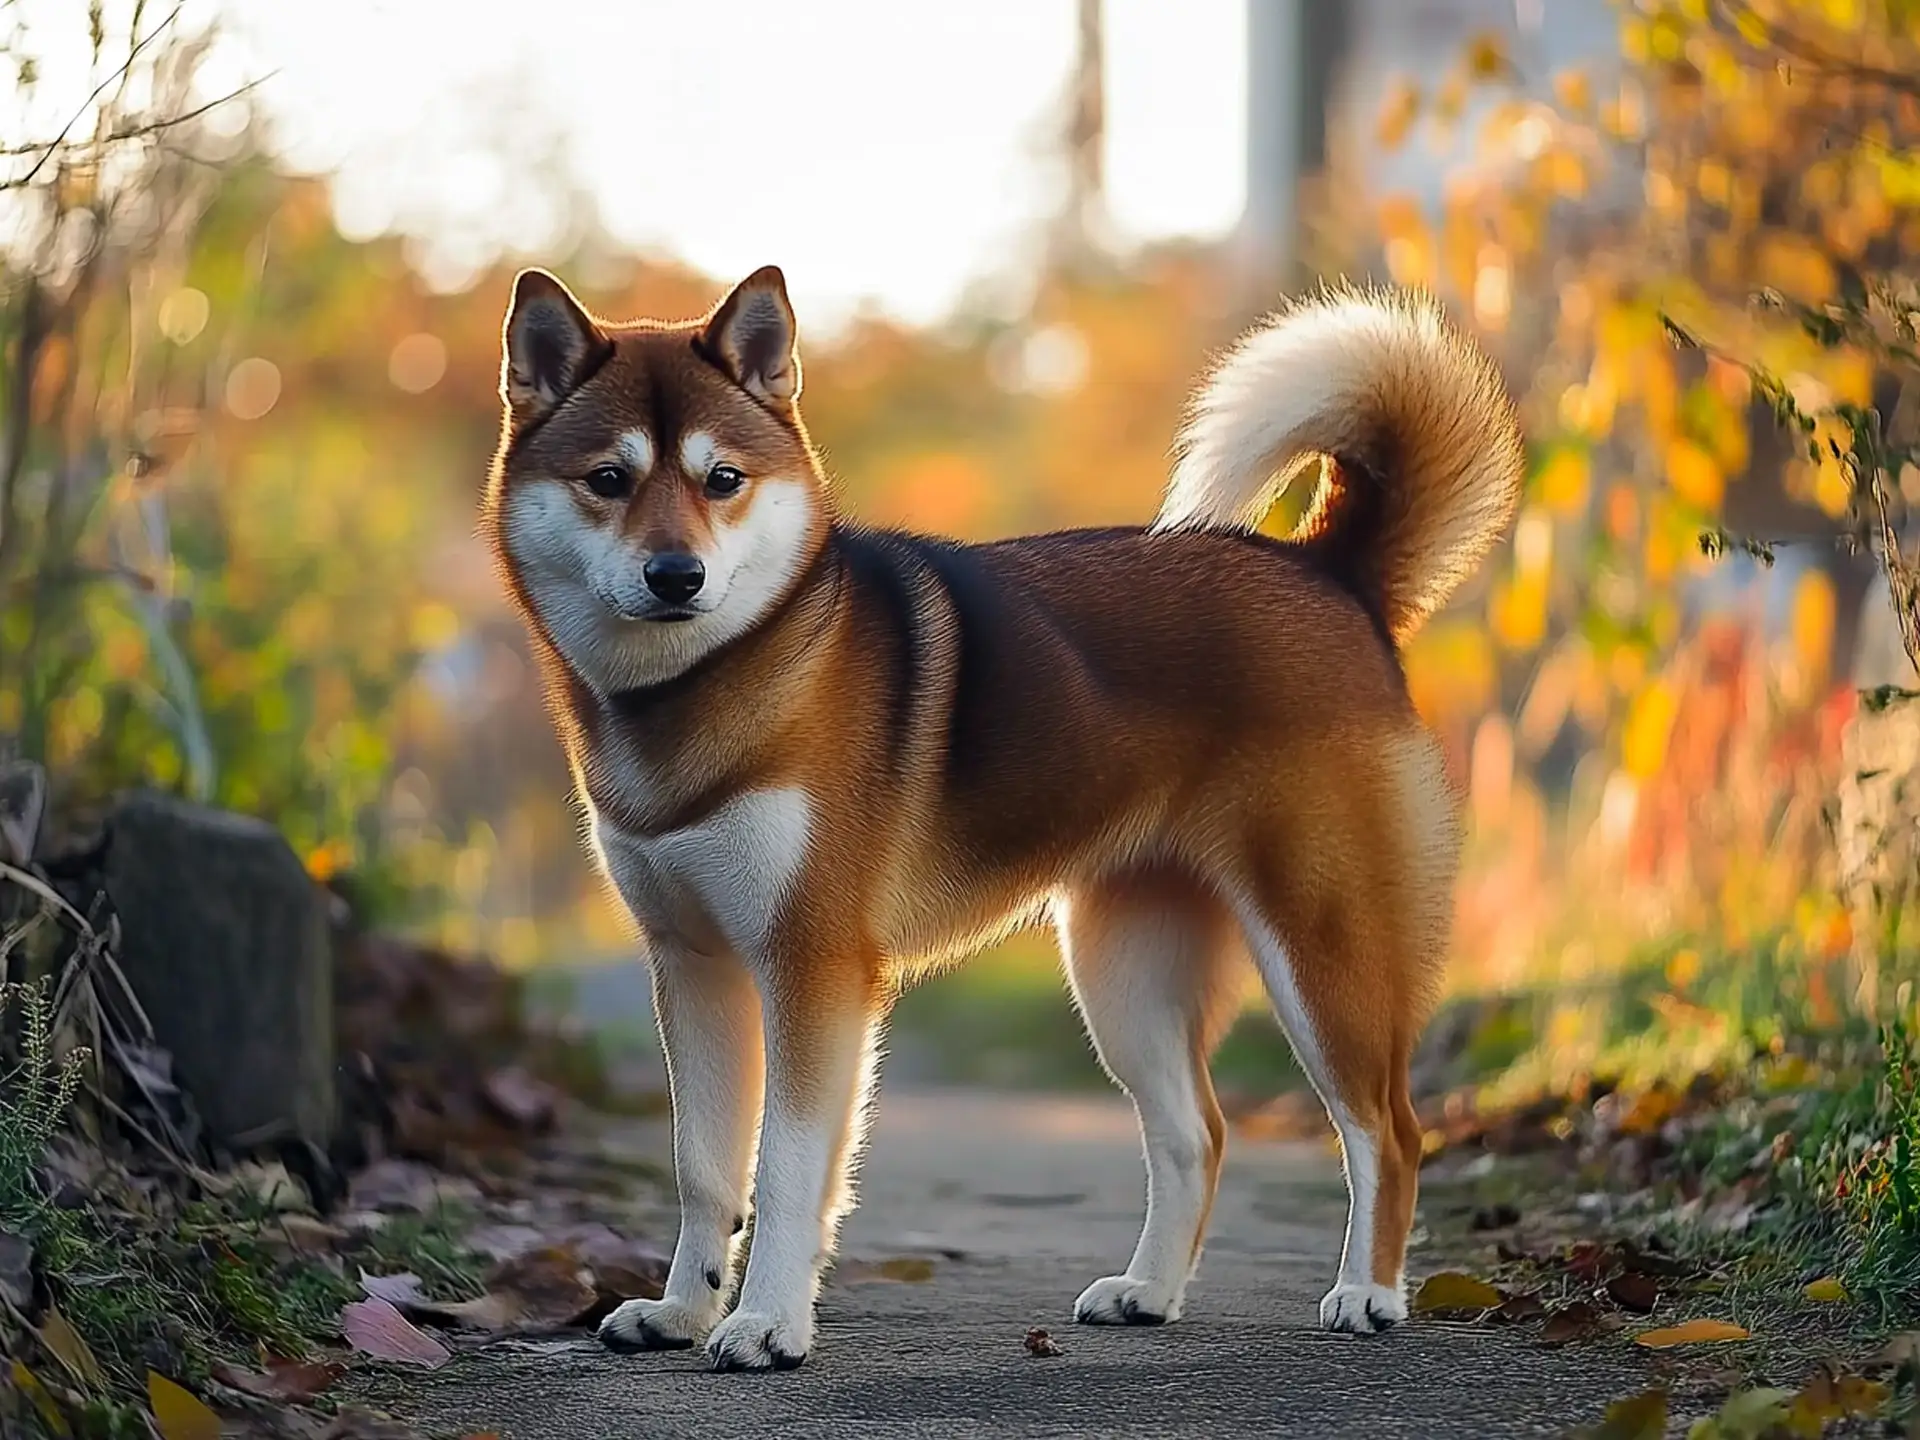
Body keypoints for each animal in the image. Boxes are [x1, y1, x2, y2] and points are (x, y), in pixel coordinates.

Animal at [483, 263, 1528, 1374]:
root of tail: (1330, 574)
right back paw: (1147, 1292)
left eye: (722, 479)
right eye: (608, 478)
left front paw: (766, 1323)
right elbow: (703, 1171)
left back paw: (1368, 1292)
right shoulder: (694, 966)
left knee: (1389, 1130)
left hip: (1323, 949)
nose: (677, 576)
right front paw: (682, 1311)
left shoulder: (813, 967)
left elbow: (789, 1170)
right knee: (1194, 1134)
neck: (713, 678)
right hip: (1122, 977)